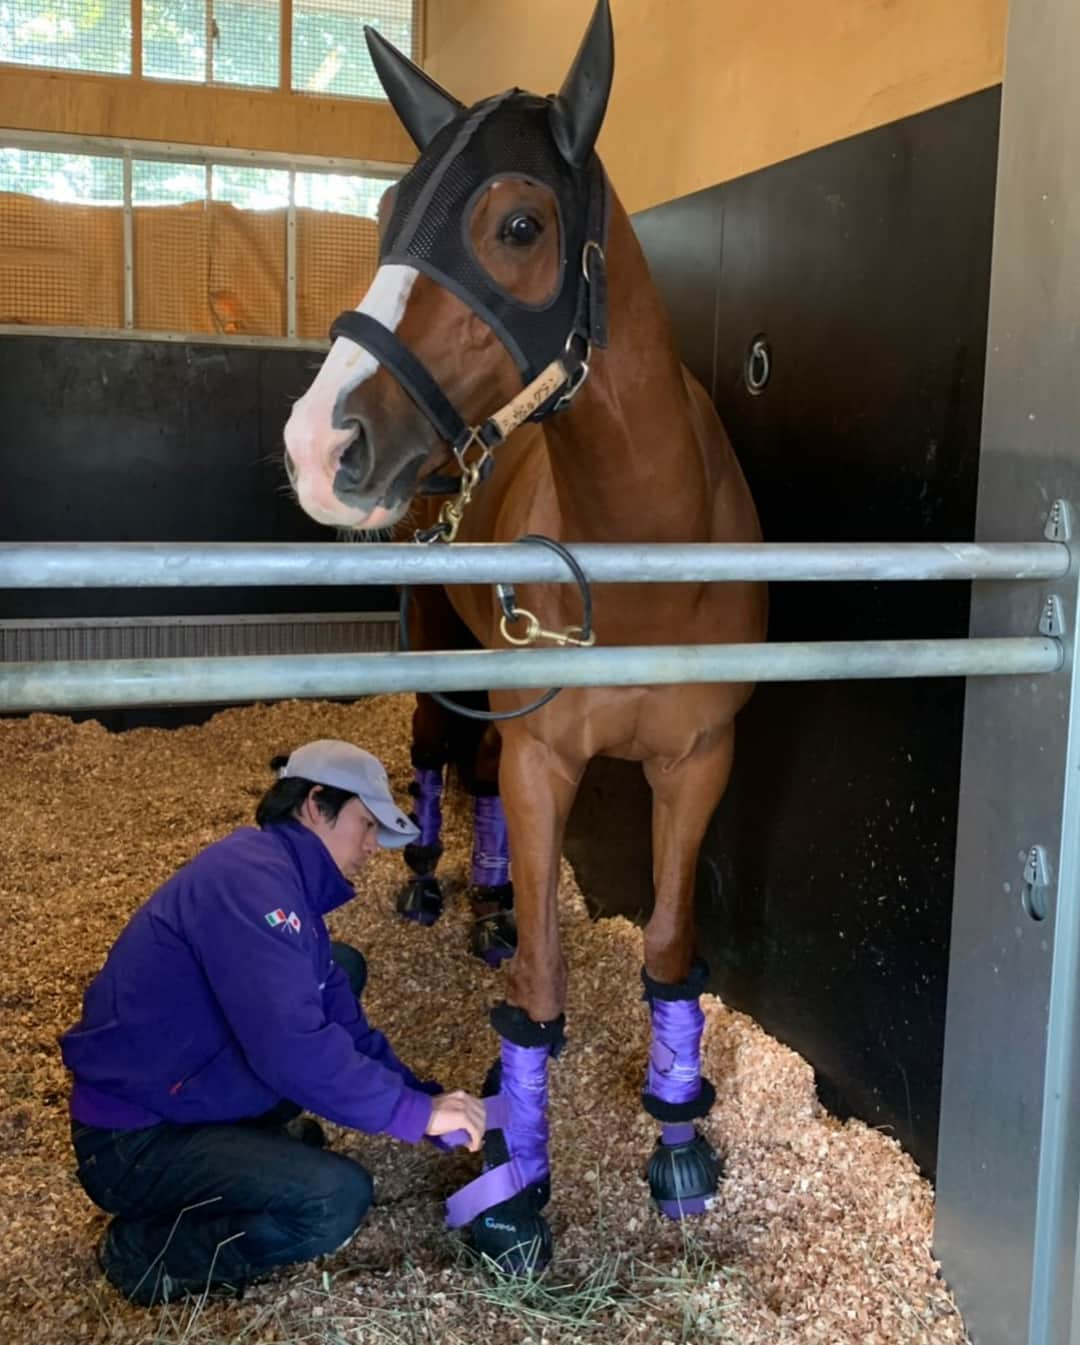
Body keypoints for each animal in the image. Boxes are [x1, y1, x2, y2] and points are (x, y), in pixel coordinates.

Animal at [282, 0, 763, 1264]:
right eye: (388, 219)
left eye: (516, 223)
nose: (319, 444)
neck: (646, 556)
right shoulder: (553, 758)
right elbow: (545, 987)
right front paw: (521, 1180)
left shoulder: (699, 765)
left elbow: (666, 951)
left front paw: (677, 1136)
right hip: (434, 661)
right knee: (440, 756)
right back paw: (437, 890)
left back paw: (491, 901)